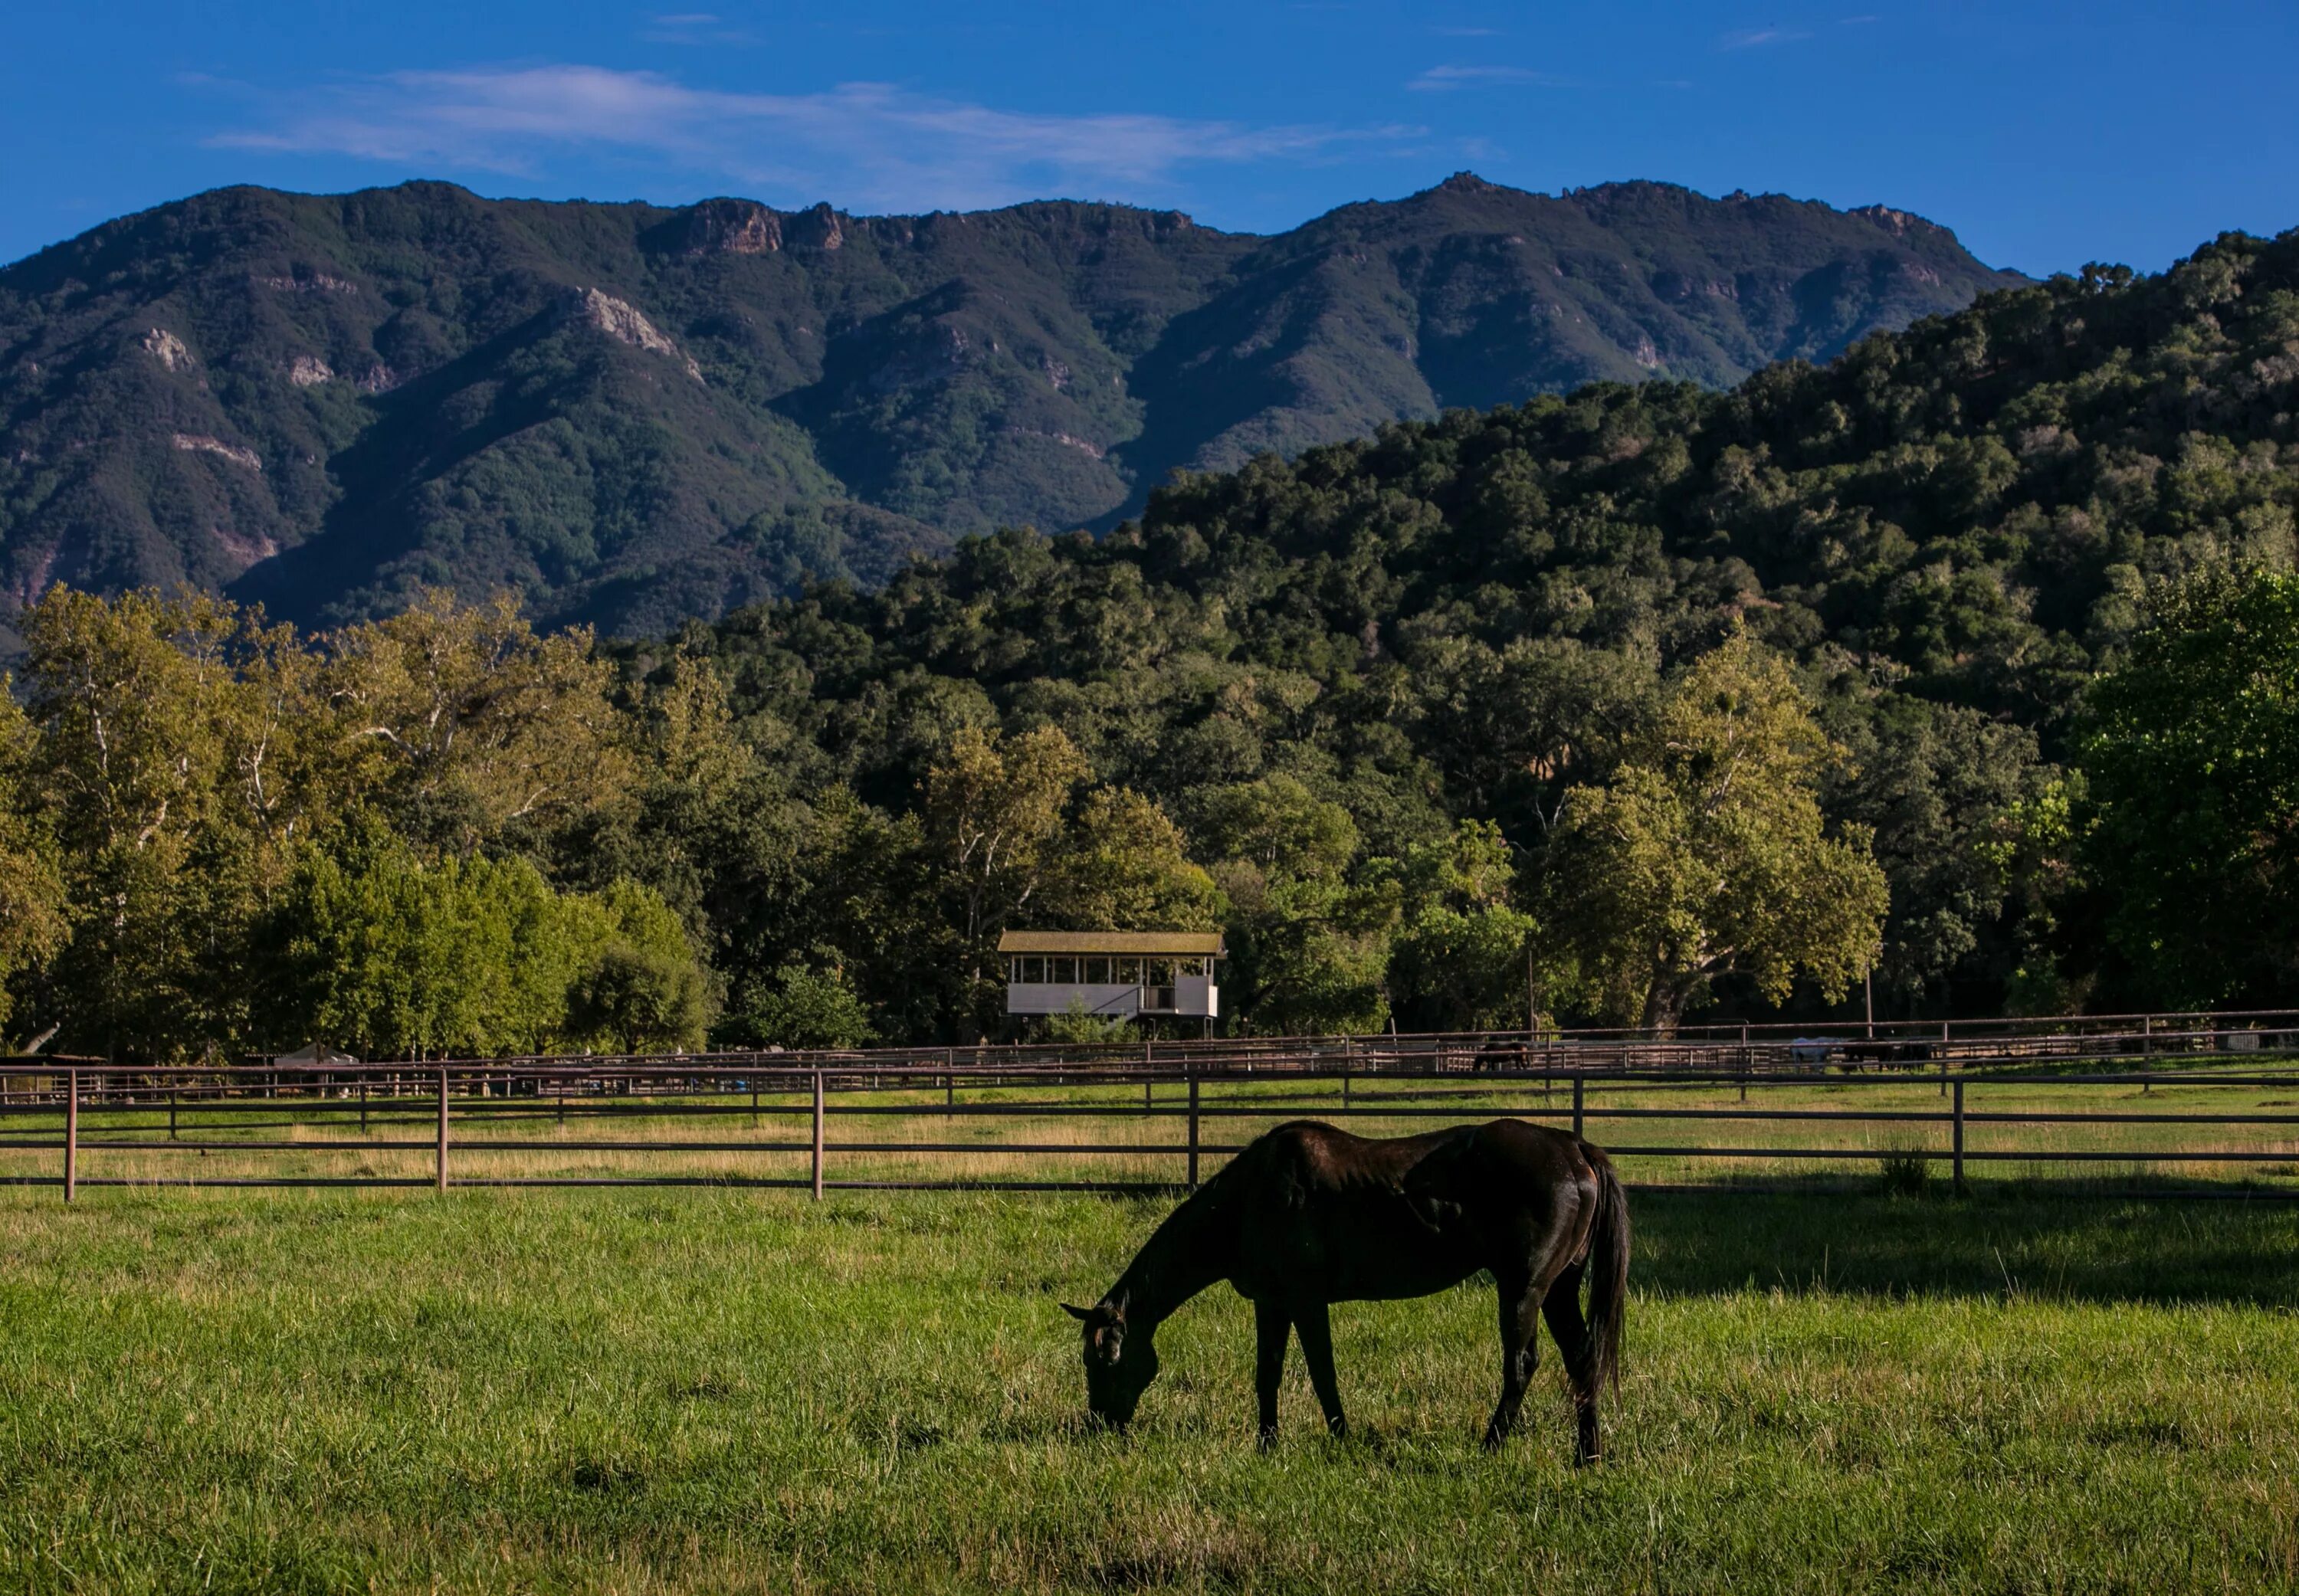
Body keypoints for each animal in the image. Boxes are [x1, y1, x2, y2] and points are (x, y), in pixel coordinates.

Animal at [1067, 1117, 1628, 1471]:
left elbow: (1322, 1373)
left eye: (1104, 1361)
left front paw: (1340, 1439)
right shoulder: (1272, 1303)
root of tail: (1572, 1149)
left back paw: (1489, 1448)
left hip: (1523, 1289)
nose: (1098, 1426)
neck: (1250, 1197)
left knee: (1521, 1365)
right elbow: (1267, 1375)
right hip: (1558, 1289)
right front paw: (1267, 1445)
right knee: (1582, 1359)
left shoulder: (1306, 1301)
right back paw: (1587, 1456)